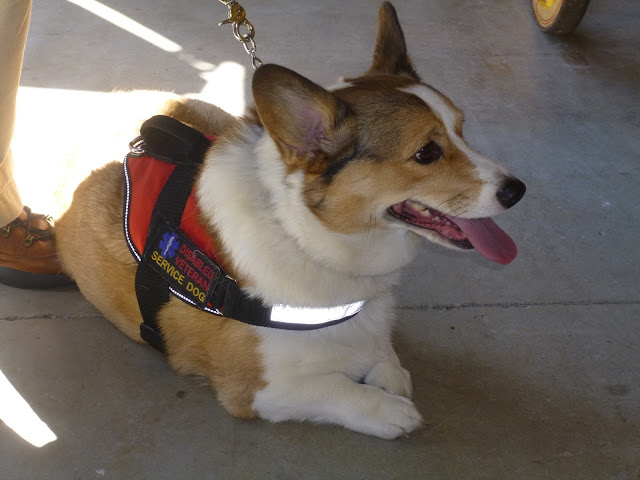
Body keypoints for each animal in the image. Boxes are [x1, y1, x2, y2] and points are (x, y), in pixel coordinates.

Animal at [56, 2, 525, 439]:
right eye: (426, 153)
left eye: (462, 130)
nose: (517, 190)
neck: (308, 237)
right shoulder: (257, 389)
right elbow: (338, 389)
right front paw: (390, 411)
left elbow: (381, 351)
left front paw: (388, 369)